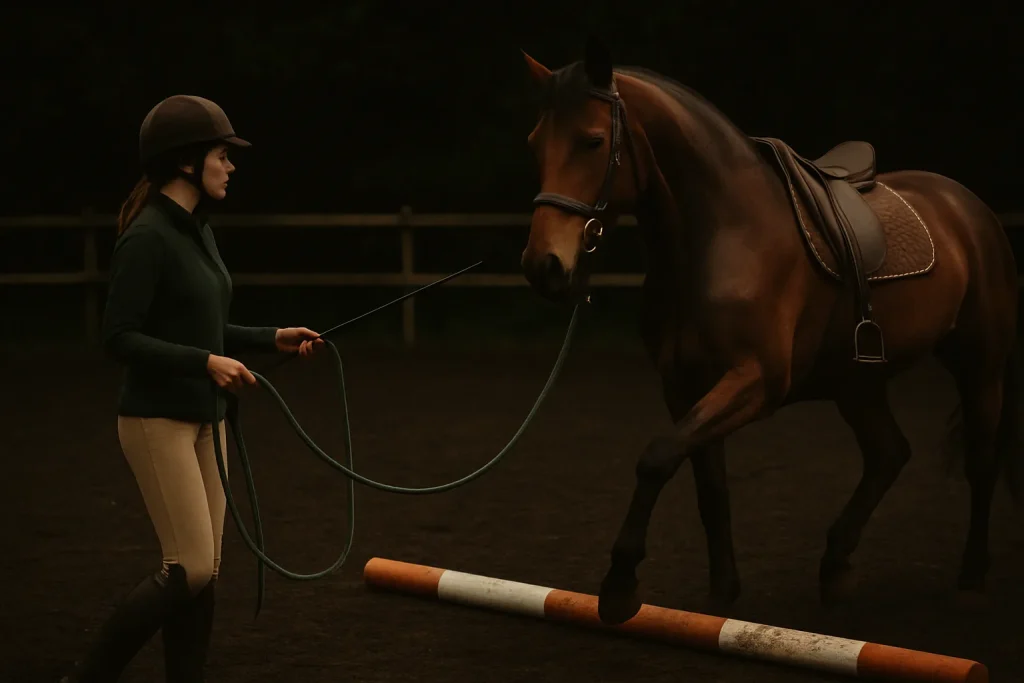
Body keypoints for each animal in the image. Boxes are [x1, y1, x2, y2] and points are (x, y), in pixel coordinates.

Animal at [518, 37, 1022, 626]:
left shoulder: (755, 381)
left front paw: (620, 585)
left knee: (979, 462)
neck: (722, 236)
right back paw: (835, 569)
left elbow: (656, 458)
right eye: (535, 144)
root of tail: (969, 206)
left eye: (593, 141)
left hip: (979, 364)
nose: (543, 266)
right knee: (888, 454)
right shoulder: (684, 386)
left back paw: (970, 580)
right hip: (856, 382)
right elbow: (708, 488)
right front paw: (720, 598)